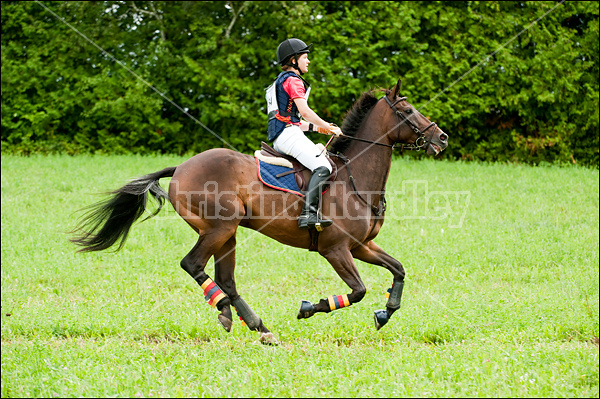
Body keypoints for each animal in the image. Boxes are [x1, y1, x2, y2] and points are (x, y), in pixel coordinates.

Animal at [71, 79, 446, 346]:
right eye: (407, 110)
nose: (441, 138)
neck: (354, 177)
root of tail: (181, 167)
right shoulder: (336, 249)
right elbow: (357, 291)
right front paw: (310, 308)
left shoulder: (361, 246)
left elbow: (398, 270)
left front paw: (386, 312)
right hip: (219, 228)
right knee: (192, 265)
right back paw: (227, 312)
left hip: (227, 233)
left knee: (225, 279)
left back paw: (257, 326)